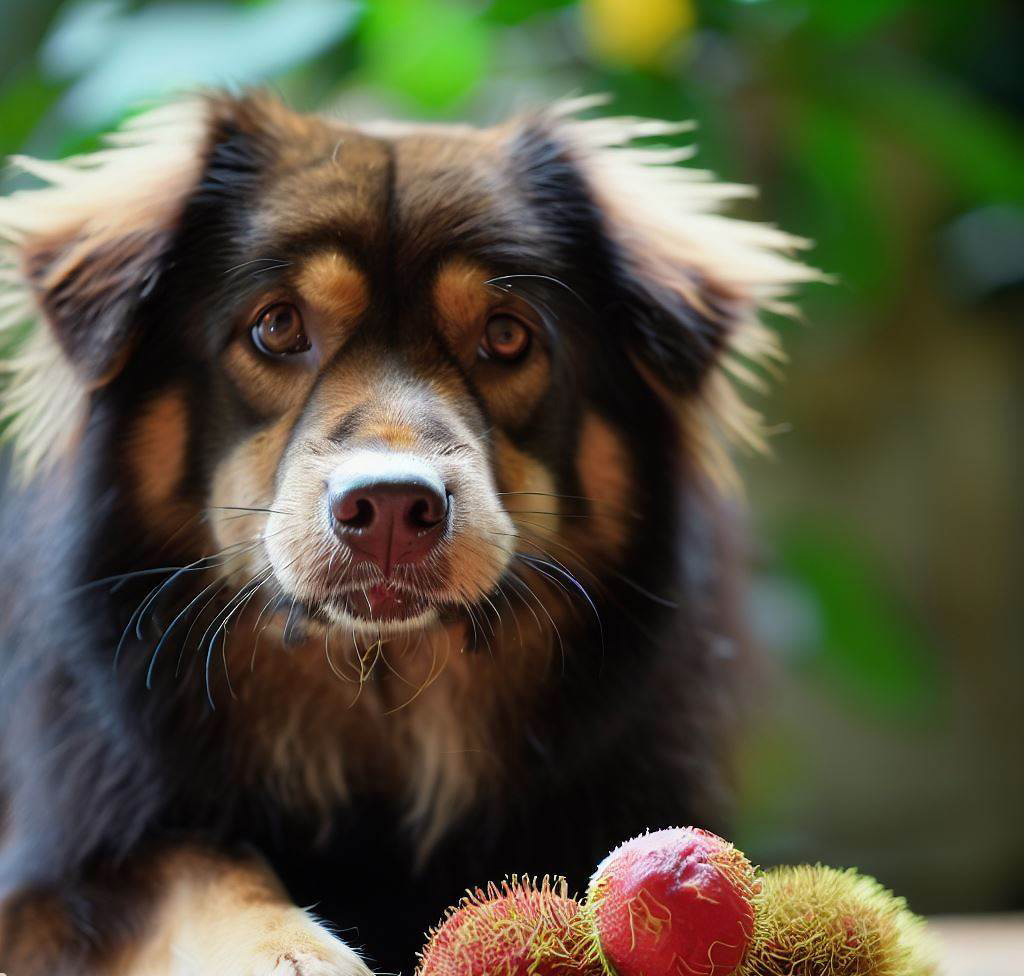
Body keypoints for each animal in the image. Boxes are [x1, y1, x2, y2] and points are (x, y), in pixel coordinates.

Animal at [2, 91, 815, 974]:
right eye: (277, 327)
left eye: (506, 335)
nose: (389, 509)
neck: (384, 699)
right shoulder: (52, 873)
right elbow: (199, 862)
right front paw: (288, 948)